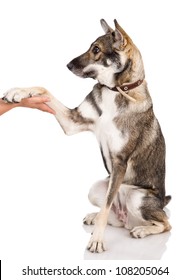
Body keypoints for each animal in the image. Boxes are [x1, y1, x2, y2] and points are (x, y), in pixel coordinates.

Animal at [2, 18, 172, 253]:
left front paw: (97, 239)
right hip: (95, 189)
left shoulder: (120, 162)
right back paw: (97, 216)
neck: (115, 90)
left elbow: (108, 207)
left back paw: (142, 229)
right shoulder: (73, 122)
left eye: (96, 50)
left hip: (137, 196)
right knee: (113, 215)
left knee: (165, 223)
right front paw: (17, 92)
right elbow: (44, 89)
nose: (67, 65)